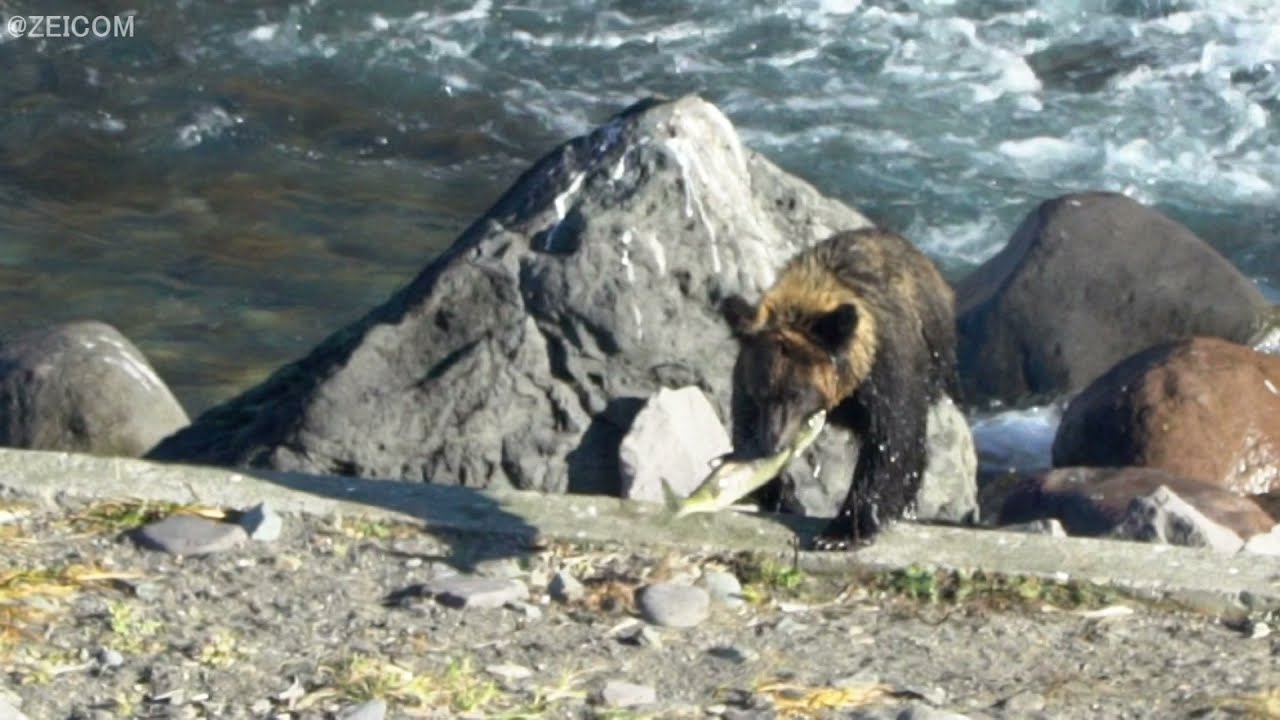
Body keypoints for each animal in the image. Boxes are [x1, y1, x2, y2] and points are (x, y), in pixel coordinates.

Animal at [721, 227, 958, 548]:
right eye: (762, 393)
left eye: (795, 394)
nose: (774, 442)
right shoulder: (744, 380)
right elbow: (744, 432)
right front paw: (783, 497)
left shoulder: (885, 373)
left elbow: (891, 443)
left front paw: (842, 531)